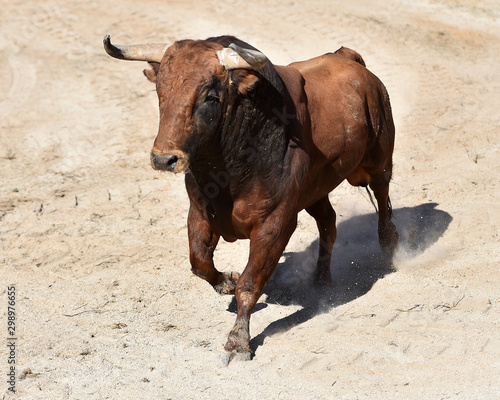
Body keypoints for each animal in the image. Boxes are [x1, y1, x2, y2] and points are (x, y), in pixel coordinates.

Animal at [104, 33, 398, 360]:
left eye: (211, 96)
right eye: (160, 90)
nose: (164, 159)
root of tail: (349, 59)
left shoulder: (275, 224)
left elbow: (250, 282)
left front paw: (238, 341)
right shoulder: (200, 213)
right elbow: (199, 261)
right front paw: (225, 283)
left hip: (379, 158)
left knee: (382, 196)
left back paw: (388, 247)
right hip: (315, 191)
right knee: (328, 223)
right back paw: (321, 279)